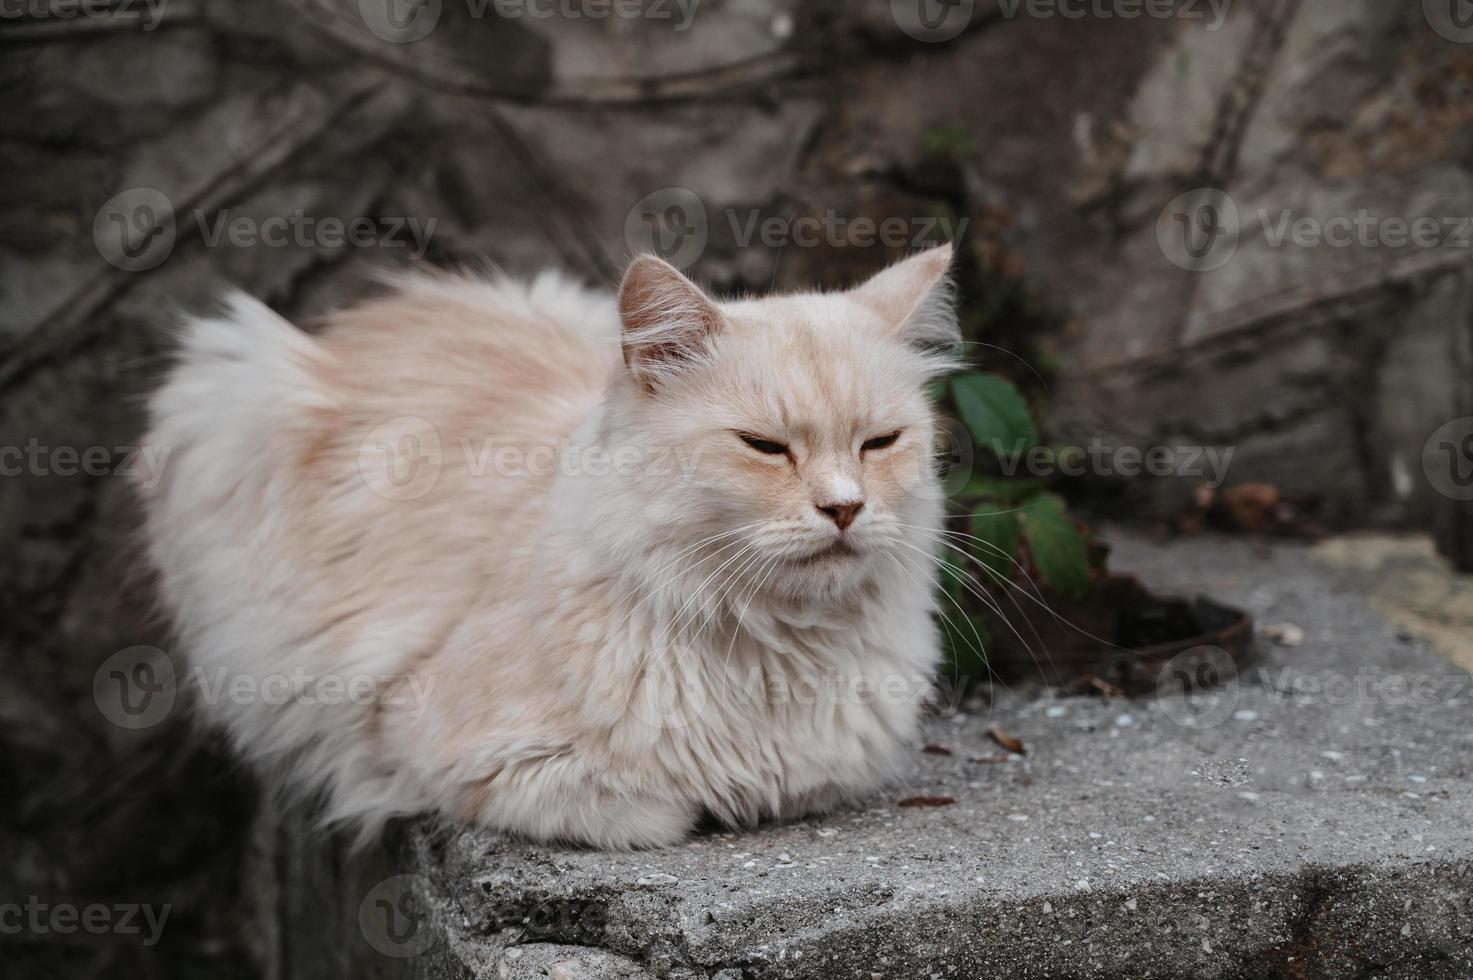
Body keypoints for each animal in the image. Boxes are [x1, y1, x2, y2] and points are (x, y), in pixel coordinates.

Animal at [138, 246, 960, 848]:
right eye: (764, 447)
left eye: (880, 442)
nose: (844, 507)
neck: (777, 649)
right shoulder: (444, 748)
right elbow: (658, 811)